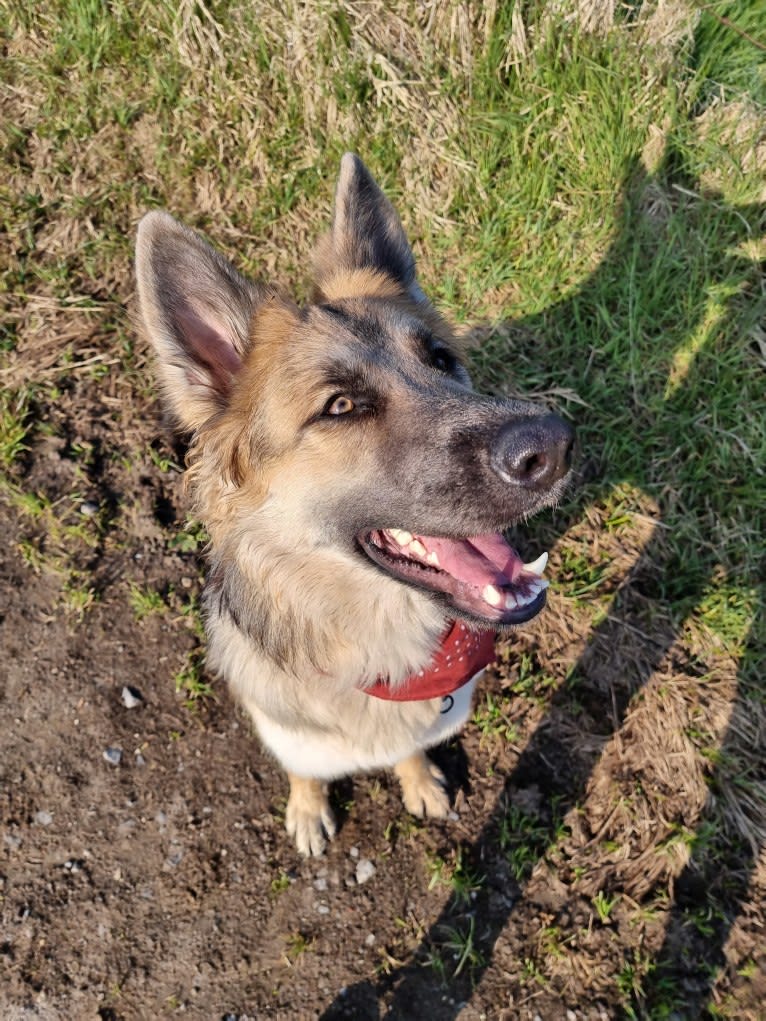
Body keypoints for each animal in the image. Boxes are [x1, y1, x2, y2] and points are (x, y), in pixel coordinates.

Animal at [134, 151, 571, 853]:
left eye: (442, 361)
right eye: (340, 406)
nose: (554, 447)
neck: (375, 646)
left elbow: (410, 749)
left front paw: (418, 779)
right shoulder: (289, 731)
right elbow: (305, 771)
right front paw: (309, 808)